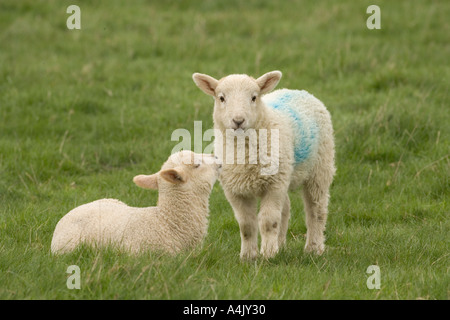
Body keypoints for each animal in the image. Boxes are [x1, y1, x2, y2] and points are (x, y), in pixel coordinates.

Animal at [192, 70, 336, 260]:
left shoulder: (274, 185)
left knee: (316, 210)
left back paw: (314, 248)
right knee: (286, 209)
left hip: (319, 167)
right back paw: (280, 246)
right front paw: (248, 256)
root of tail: (299, 91)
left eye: (254, 97)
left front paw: (268, 254)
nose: (238, 120)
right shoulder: (235, 190)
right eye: (221, 98)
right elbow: (246, 224)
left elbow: (268, 221)